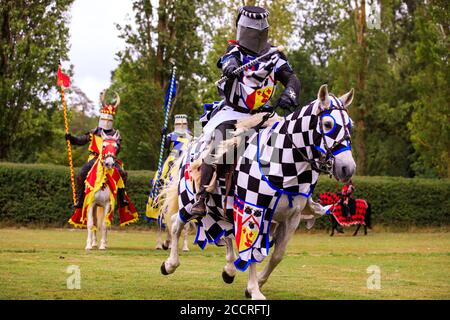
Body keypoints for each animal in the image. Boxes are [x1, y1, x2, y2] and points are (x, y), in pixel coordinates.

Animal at [158, 84, 356, 298]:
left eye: (350, 125)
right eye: (328, 124)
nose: (347, 168)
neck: (282, 162)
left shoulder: (290, 219)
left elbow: (277, 255)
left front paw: (257, 283)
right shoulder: (253, 211)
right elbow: (251, 251)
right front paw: (254, 290)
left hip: (223, 208)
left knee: (226, 233)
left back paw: (229, 270)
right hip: (190, 200)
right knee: (177, 222)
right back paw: (170, 264)